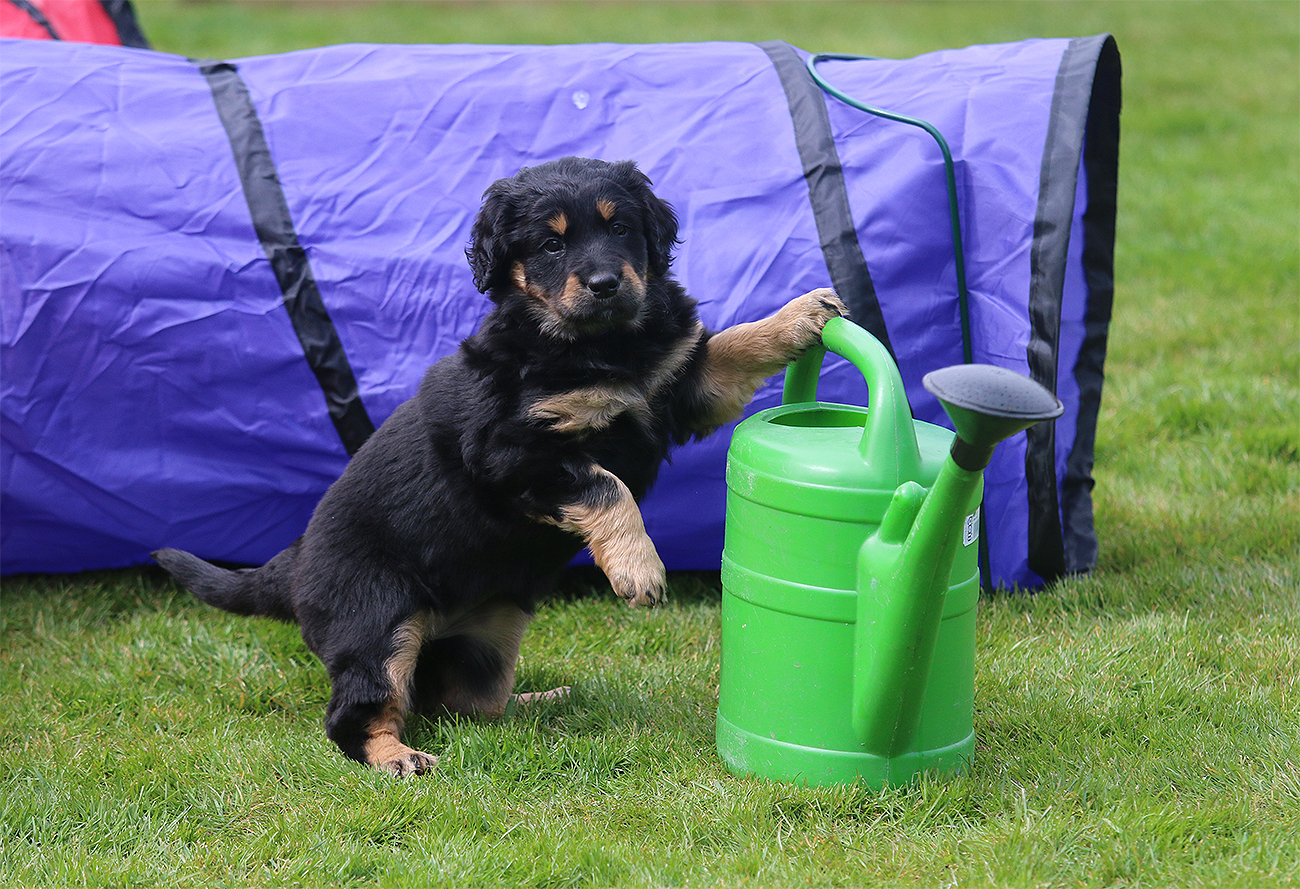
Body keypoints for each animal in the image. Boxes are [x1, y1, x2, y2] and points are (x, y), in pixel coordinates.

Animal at [155, 156, 845, 776]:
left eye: (621, 227)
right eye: (550, 244)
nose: (605, 284)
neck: (601, 345)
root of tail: (292, 563)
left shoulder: (680, 387)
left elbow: (732, 346)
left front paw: (806, 312)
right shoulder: (512, 454)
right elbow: (606, 486)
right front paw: (640, 571)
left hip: (491, 633)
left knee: (467, 703)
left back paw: (542, 700)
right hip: (379, 623)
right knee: (359, 713)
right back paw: (397, 758)